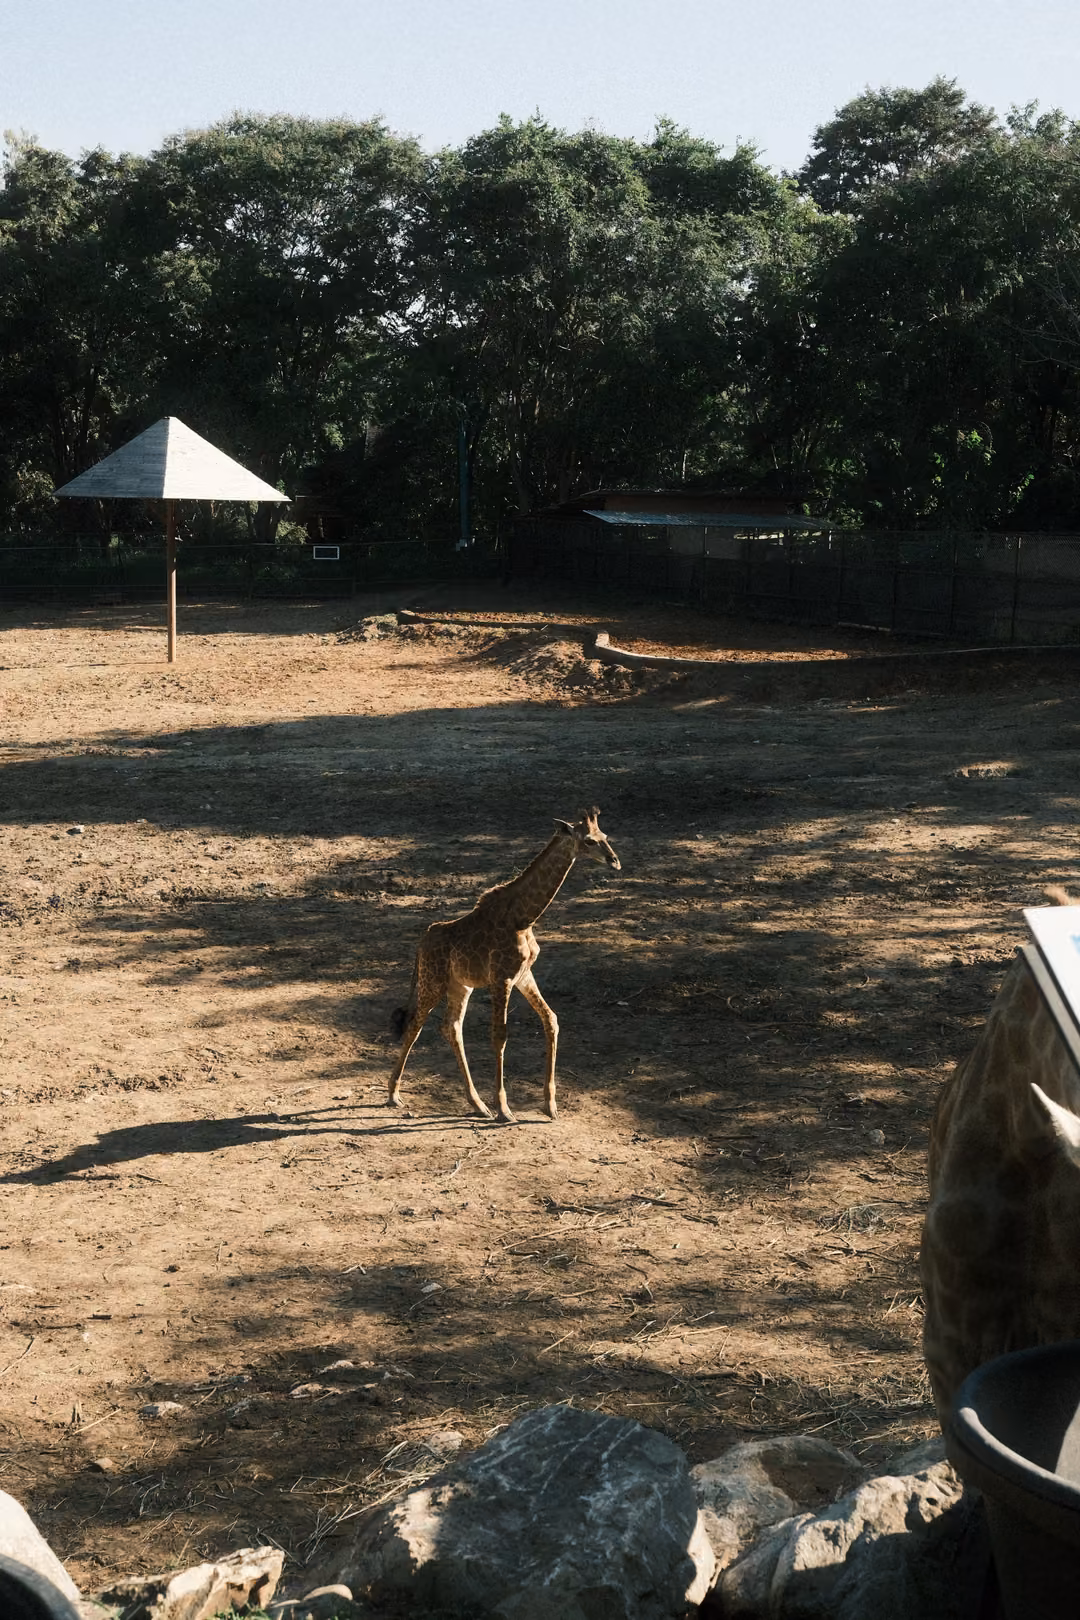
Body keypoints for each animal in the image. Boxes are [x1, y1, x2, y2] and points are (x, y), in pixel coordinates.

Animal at [388, 808, 621, 1124]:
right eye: (588, 841)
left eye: (605, 836)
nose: (614, 861)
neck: (524, 917)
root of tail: (421, 942)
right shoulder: (502, 978)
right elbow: (499, 1036)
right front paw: (504, 1109)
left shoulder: (522, 974)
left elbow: (551, 1020)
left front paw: (550, 1106)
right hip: (432, 981)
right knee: (415, 1024)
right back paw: (394, 1094)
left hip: (459, 985)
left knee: (451, 1027)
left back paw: (477, 1104)